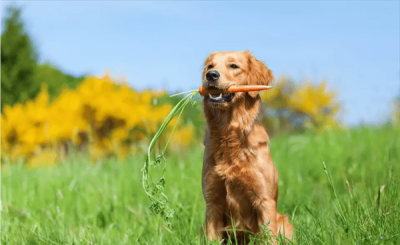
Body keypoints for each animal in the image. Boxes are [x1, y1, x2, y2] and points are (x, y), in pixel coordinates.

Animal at [202, 50, 292, 242]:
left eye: (233, 66)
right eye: (210, 66)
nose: (210, 75)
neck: (229, 136)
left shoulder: (264, 200)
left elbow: (269, 237)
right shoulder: (212, 203)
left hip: (284, 222)